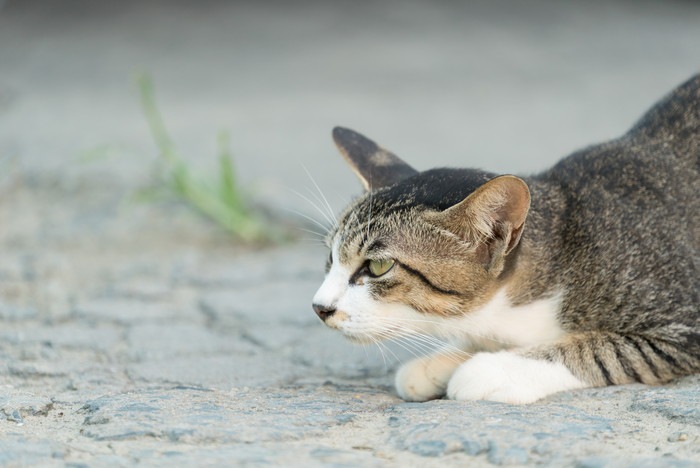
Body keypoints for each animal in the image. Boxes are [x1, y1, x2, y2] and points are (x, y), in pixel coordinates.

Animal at [312, 75, 700, 404]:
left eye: (378, 266)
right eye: (331, 257)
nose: (319, 307)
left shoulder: (684, 324)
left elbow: (604, 350)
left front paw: (493, 368)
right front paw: (441, 362)